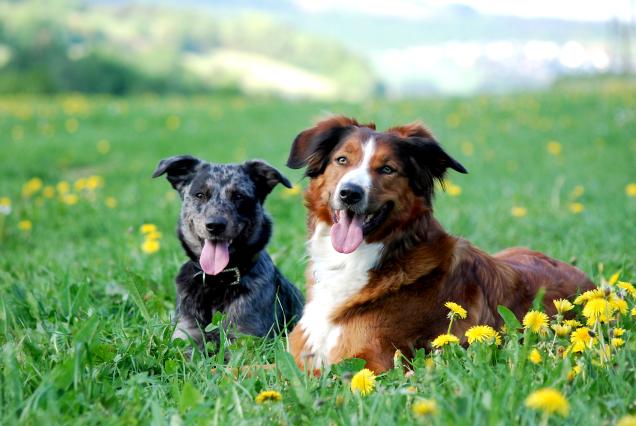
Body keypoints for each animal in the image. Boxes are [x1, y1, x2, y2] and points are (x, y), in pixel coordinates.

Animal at [153, 156, 304, 352]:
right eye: (200, 195)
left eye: (239, 196)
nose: (215, 225)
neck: (217, 281)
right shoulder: (186, 334)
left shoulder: (245, 339)